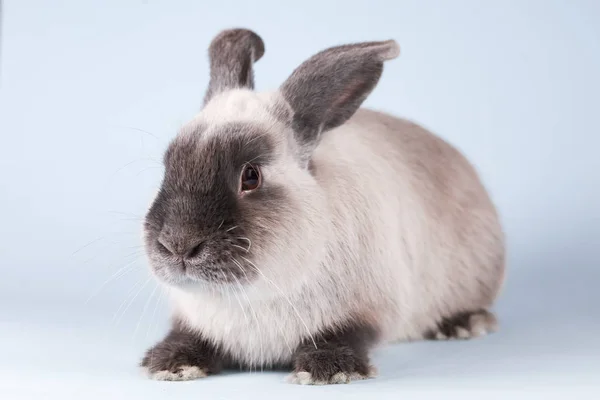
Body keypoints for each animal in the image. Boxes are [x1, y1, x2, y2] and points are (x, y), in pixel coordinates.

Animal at [139, 28, 506, 384]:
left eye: (251, 176)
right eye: (169, 166)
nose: (178, 244)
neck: (254, 293)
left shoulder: (367, 310)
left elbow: (342, 337)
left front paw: (328, 370)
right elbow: (190, 337)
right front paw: (169, 363)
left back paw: (462, 325)